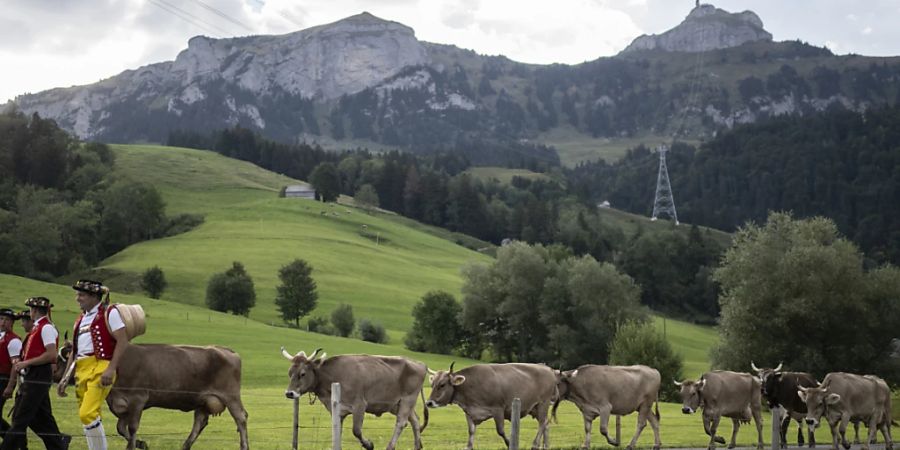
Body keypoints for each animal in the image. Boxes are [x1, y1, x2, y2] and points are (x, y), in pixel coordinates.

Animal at [58, 342, 250, 450]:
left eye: (74, 359)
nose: (60, 383)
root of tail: (227, 350)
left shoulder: (138, 399)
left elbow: (132, 428)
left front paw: (132, 446)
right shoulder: (123, 404)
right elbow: (121, 428)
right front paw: (140, 444)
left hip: (231, 395)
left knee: (241, 418)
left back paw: (244, 446)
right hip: (203, 401)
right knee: (199, 422)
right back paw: (185, 446)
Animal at [282, 348, 428, 450]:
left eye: (302, 374)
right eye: (289, 373)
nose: (289, 393)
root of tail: (420, 364)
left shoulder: (359, 405)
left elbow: (356, 430)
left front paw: (369, 444)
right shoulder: (337, 411)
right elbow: (337, 431)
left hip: (408, 399)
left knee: (401, 423)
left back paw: (390, 446)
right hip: (397, 404)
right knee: (415, 420)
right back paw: (417, 446)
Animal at [426, 362, 560, 450]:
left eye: (442, 385)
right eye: (432, 384)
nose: (429, 403)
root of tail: (547, 368)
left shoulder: (498, 409)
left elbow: (500, 431)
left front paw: (509, 443)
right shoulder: (469, 412)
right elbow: (471, 431)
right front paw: (468, 446)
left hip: (543, 403)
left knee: (542, 423)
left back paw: (535, 444)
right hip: (535, 408)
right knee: (546, 424)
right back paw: (545, 446)